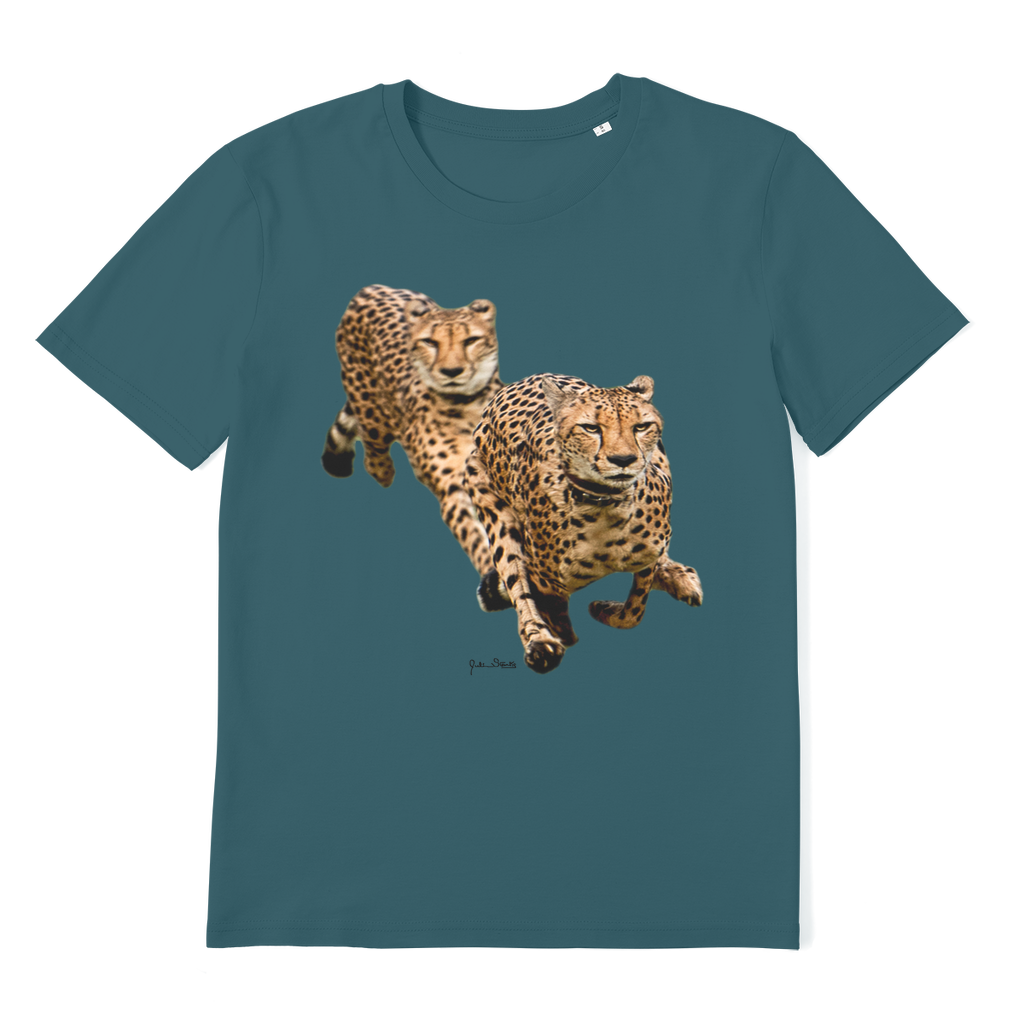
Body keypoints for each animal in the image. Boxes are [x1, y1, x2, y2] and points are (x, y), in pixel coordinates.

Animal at [321, 284, 504, 582]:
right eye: (430, 342)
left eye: (471, 340)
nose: (451, 371)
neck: (467, 404)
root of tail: (371, 288)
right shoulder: (453, 489)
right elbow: (475, 535)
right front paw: (491, 572)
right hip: (372, 414)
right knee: (373, 453)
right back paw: (383, 471)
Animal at [464, 373, 703, 673]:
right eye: (590, 428)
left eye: (641, 427)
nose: (623, 460)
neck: (606, 505)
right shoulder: (546, 579)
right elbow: (544, 600)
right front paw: (560, 633)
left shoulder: (648, 553)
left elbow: (634, 609)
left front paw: (604, 609)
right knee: (516, 580)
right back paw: (540, 642)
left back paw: (680, 576)